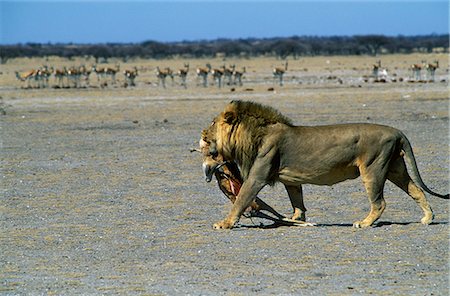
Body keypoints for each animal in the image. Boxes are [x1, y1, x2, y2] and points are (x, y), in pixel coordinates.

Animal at [202, 100, 448, 229]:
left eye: (213, 123)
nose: (203, 133)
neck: (254, 135)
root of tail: (397, 132)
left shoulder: (257, 176)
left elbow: (241, 199)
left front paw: (225, 223)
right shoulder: (291, 180)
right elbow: (297, 201)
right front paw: (296, 220)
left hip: (373, 168)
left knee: (380, 203)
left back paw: (364, 223)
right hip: (395, 168)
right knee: (416, 190)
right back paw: (427, 218)